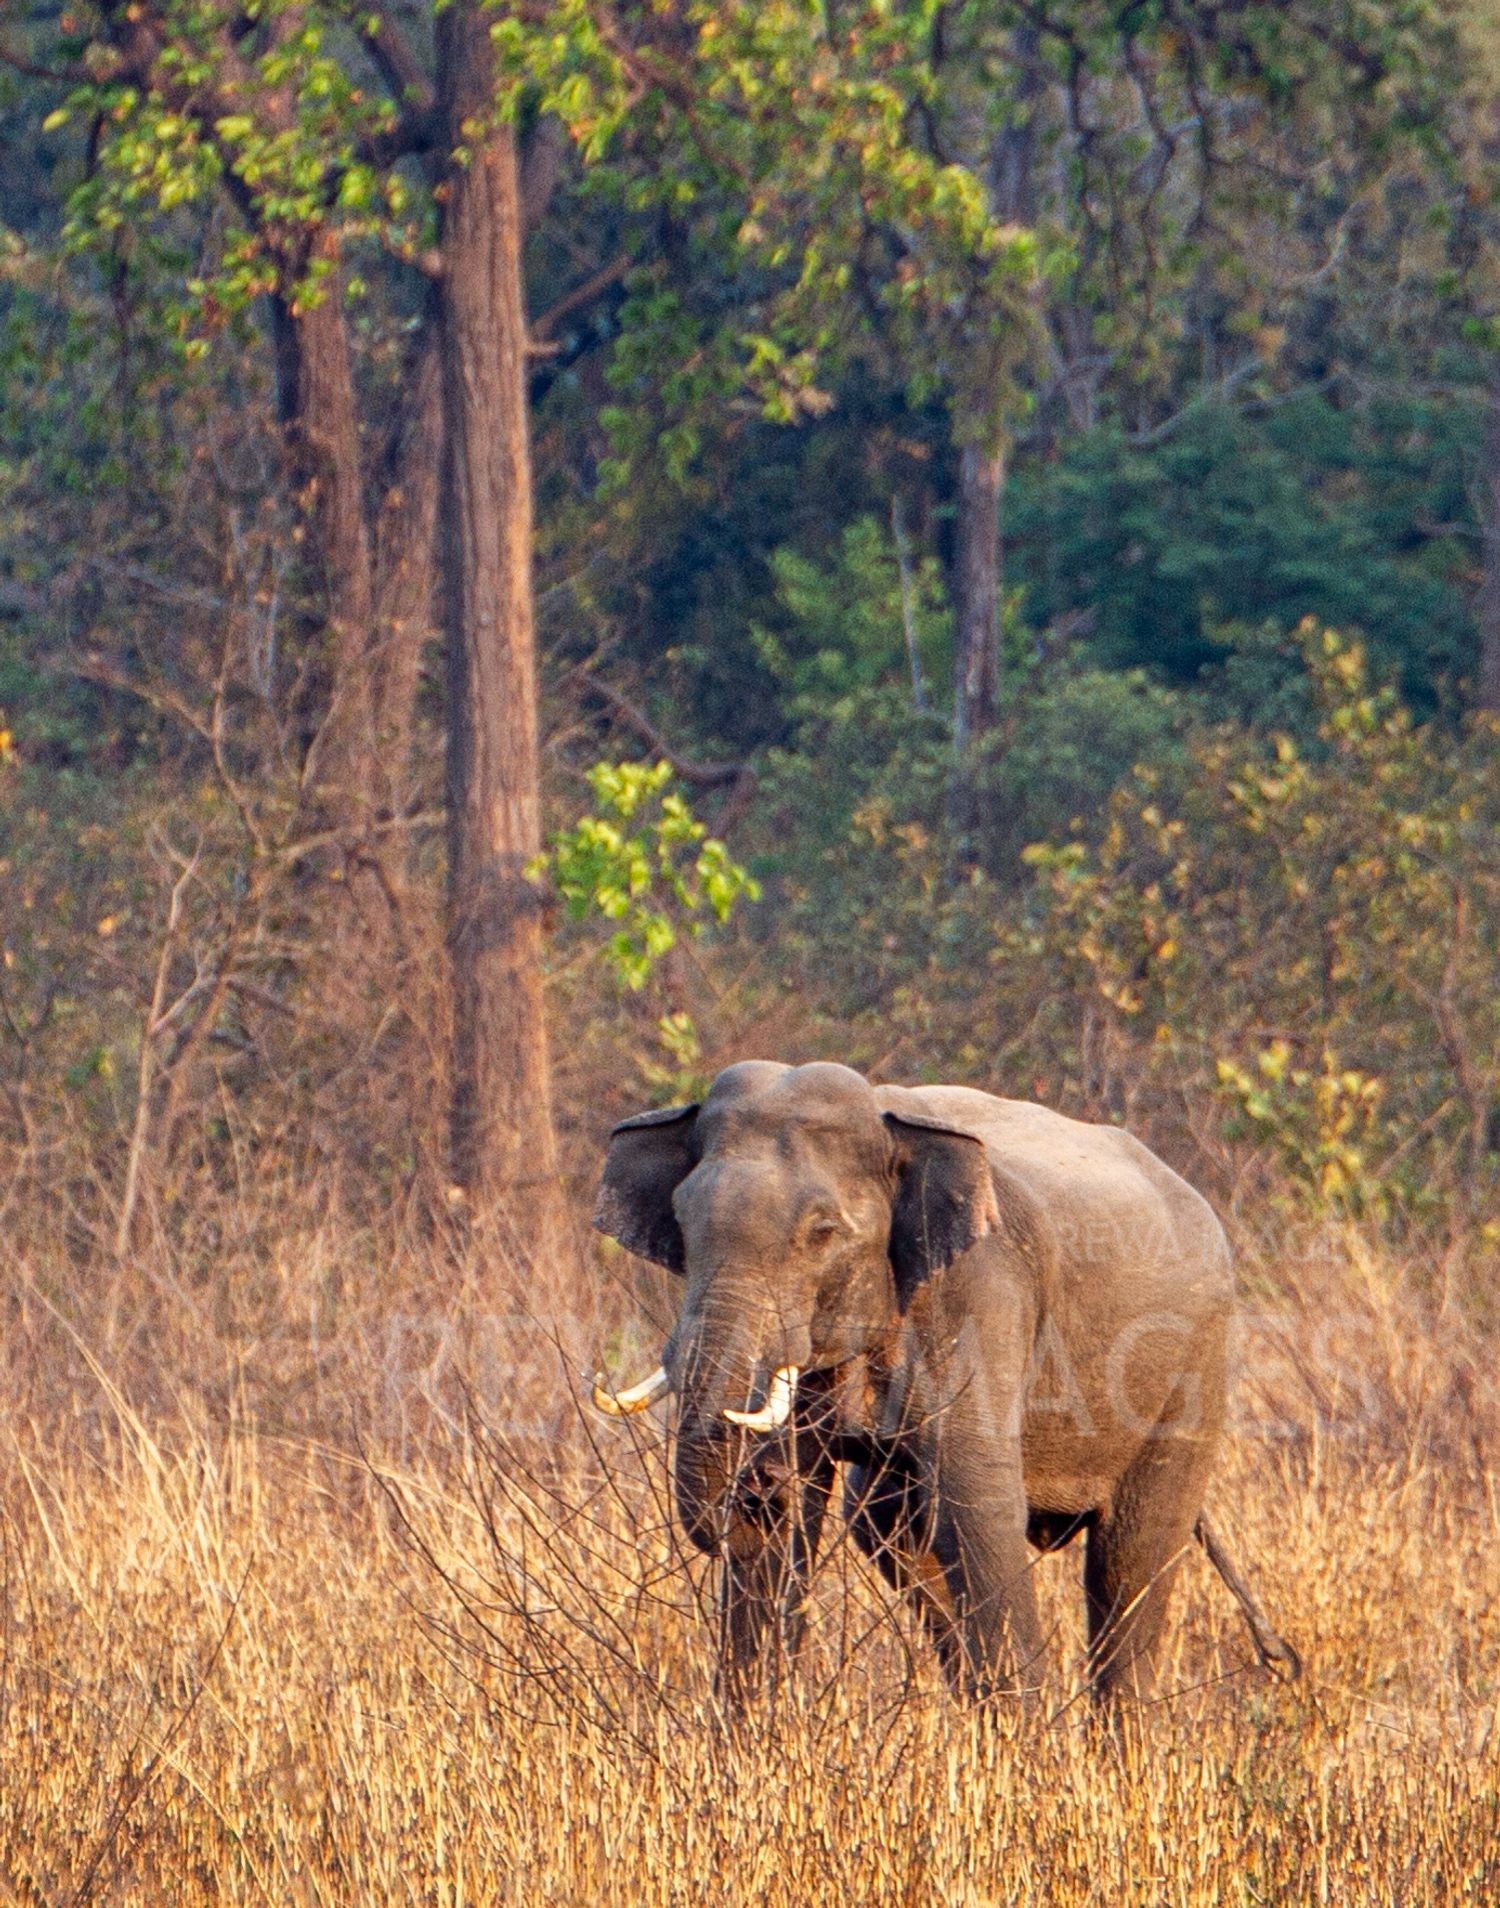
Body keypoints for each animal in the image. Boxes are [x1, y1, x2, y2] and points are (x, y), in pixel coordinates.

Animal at [592, 1060, 1297, 1709]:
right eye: (682, 1222)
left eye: (823, 1233)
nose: (758, 1490)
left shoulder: (980, 1294)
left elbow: (977, 1507)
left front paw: (1023, 1749)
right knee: (886, 1527)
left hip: (1195, 1365)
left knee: (1133, 1554)